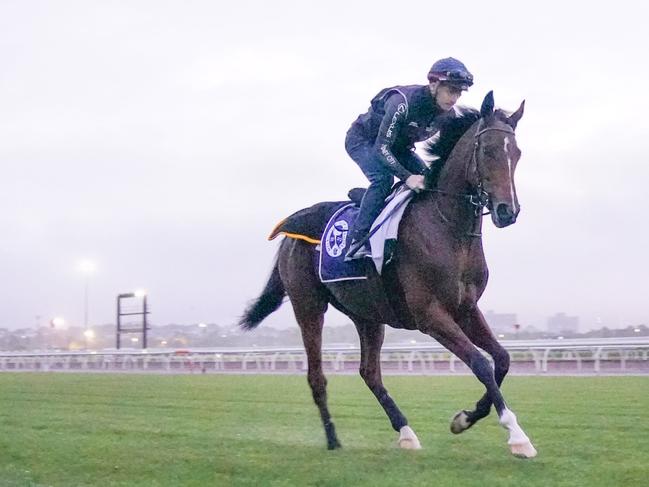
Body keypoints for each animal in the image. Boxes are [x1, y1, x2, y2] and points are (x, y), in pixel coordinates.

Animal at [239, 90, 536, 458]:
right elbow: (481, 364)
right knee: (317, 376)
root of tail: (287, 235)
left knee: (369, 372)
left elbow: (503, 359)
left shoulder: (466, 308)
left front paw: (465, 418)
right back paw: (333, 439)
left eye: (517, 153)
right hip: (308, 306)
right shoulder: (430, 315)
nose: (507, 211)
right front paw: (517, 436)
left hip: (367, 314)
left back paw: (406, 432)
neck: (447, 228)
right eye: (488, 150)